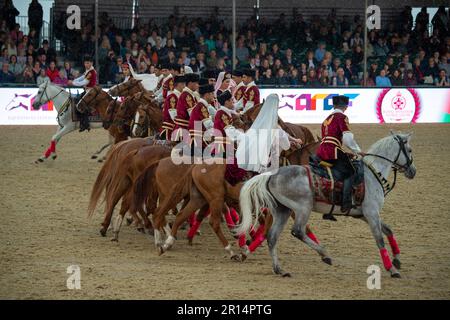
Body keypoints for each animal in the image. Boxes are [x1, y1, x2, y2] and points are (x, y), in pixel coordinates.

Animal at [237, 132, 416, 278]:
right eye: (409, 150)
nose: (413, 171)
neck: (372, 174)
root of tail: (271, 174)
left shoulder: (364, 215)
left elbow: (388, 230)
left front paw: (397, 260)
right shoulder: (371, 213)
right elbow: (380, 239)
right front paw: (392, 269)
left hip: (283, 211)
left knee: (272, 237)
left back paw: (279, 269)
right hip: (303, 208)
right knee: (298, 231)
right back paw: (325, 254)